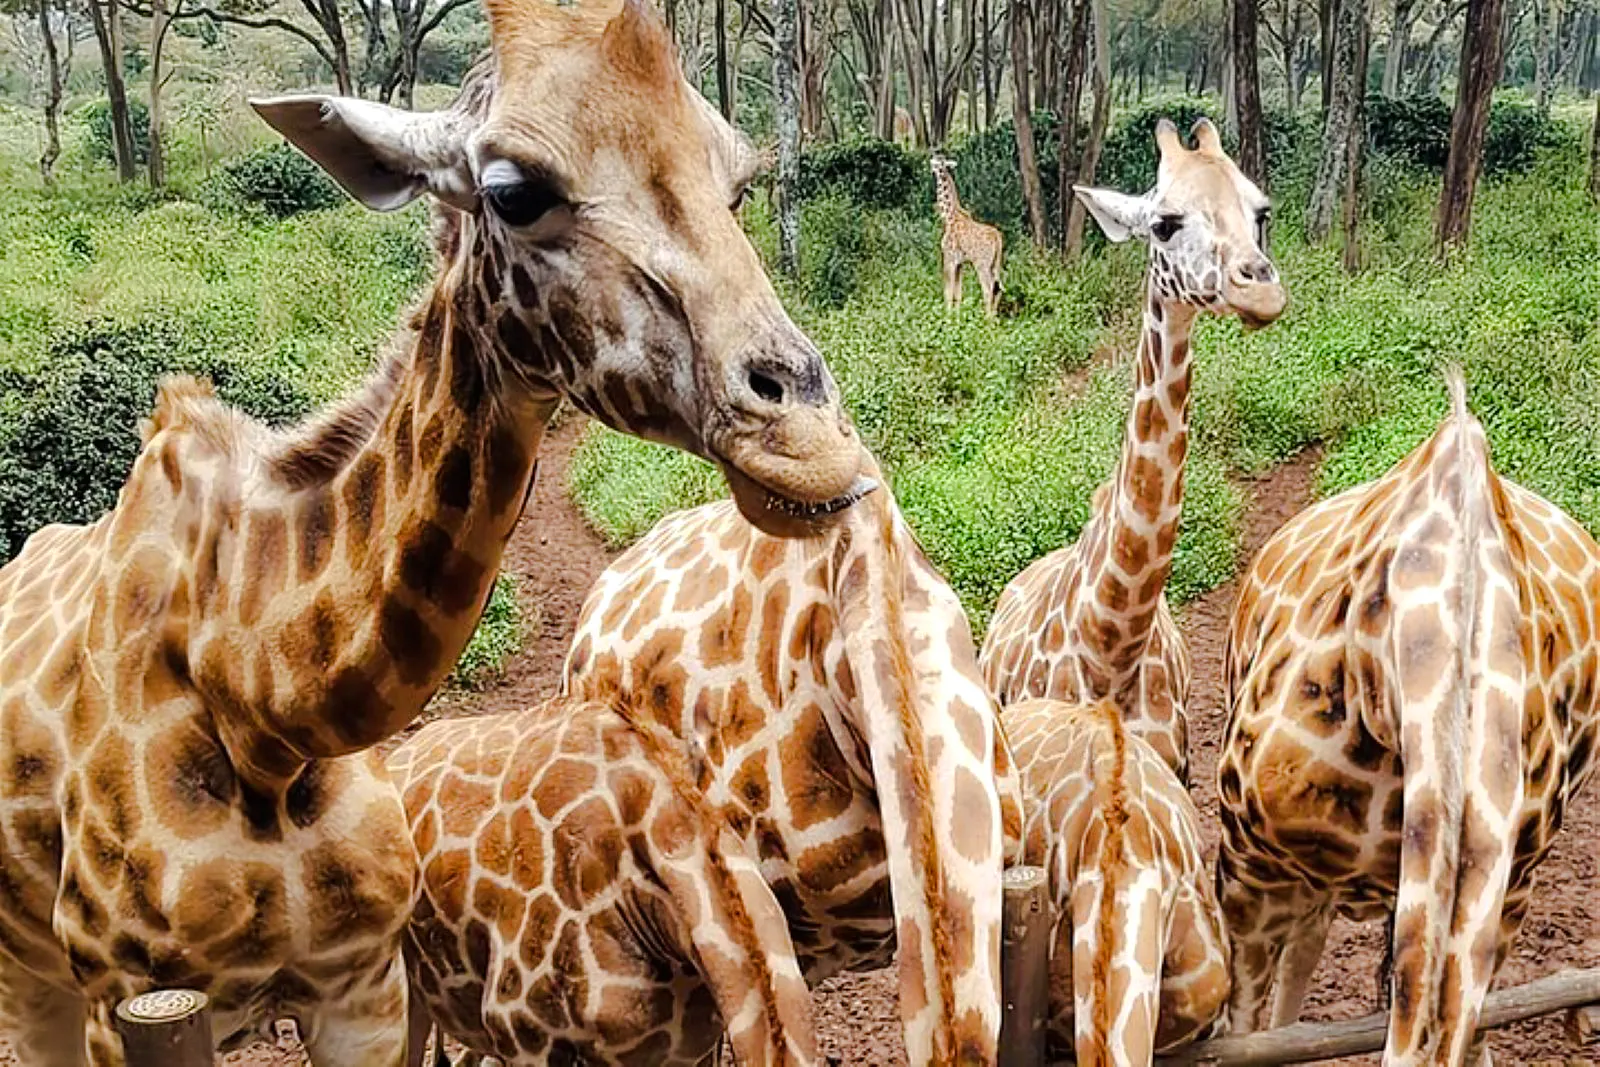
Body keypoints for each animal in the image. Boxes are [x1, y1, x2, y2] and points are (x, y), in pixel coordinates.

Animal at [930, 156, 1004, 317]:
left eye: (937, 163)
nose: (931, 167)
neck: (949, 215)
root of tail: (998, 238)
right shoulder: (960, 263)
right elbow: (958, 293)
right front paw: (957, 317)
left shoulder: (949, 258)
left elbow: (948, 292)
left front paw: (947, 318)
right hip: (995, 264)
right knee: (999, 288)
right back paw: (994, 319)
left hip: (982, 264)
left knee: (988, 289)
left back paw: (986, 320)